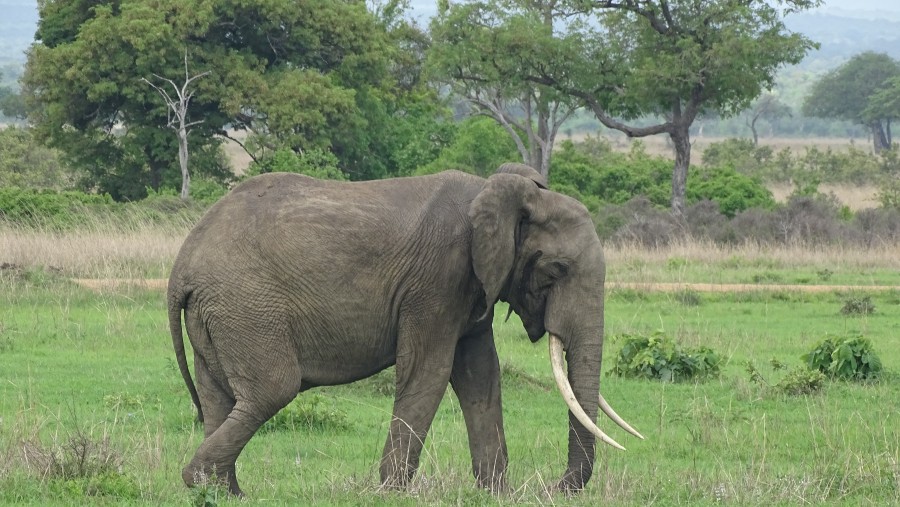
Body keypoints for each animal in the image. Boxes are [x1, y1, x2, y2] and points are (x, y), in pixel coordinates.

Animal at [169, 163, 644, 496]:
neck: (496, 191)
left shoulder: (471, 289)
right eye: (557, 269)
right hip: (245, 306)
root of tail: (181, 266)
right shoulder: (437, 280)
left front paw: (497, 494)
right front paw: (392, 491)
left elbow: (480, 379)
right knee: (272, 389)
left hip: (220, 314)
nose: (552, 487)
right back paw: (200, 481)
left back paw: (225, 493)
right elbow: (429, 373)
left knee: (219, 398)